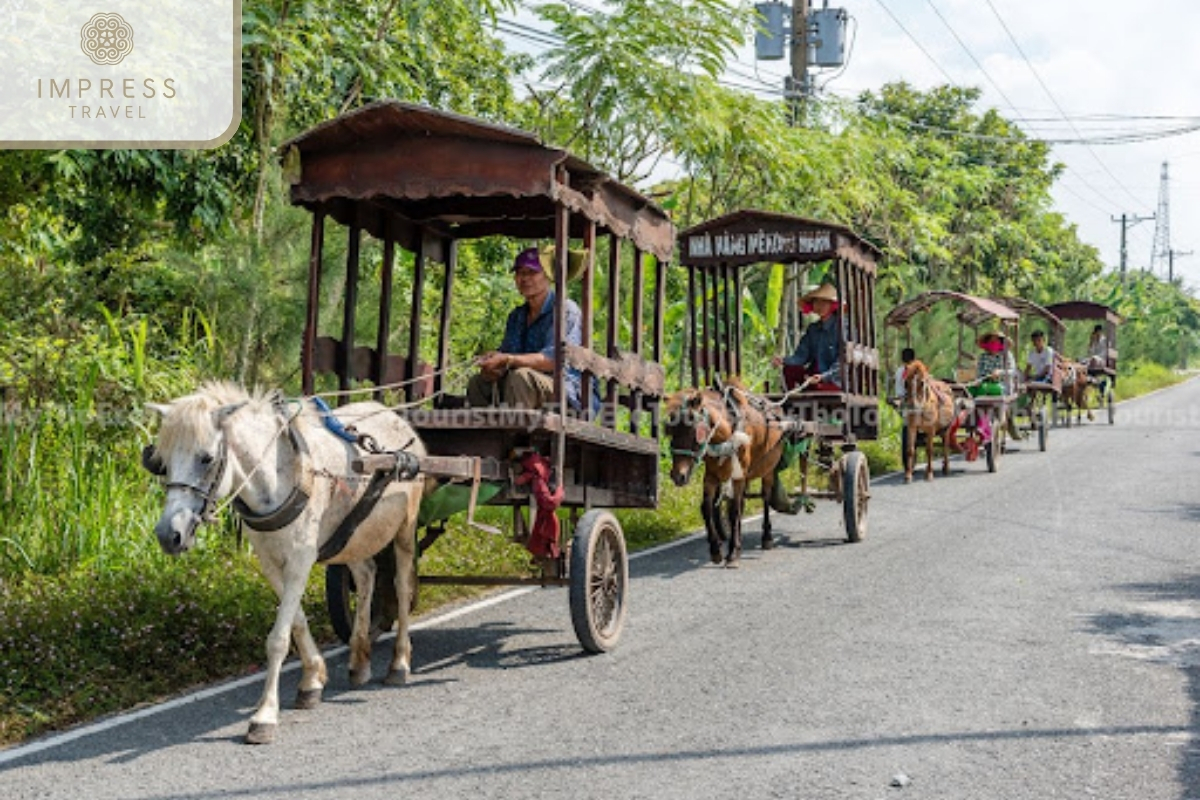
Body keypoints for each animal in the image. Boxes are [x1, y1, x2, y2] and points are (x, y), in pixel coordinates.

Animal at [141, 381, 427, 743]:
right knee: (366, 577)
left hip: (406, 526)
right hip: (355, 535)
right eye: (162, 462)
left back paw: (399, 663)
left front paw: (264, 715)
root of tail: (398, 419)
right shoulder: (271, 562)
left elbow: (277, 639)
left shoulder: (301, 559)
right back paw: (359, 661)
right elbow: (297, 622)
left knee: (402, 587)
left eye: (206, 458)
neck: (278, 478)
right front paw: (312, 680)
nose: (169, 534)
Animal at [667, 383, 787, 566]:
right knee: (741, 502)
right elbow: (707, 508)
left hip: (768, 469)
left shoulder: (738, 476)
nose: (678, 476)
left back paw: (766, 537)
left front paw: (732, 552)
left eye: (693, 430)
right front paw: (716, 550)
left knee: (765, 497)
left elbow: (733, 511)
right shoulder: (711, 476)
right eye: (671, 431)